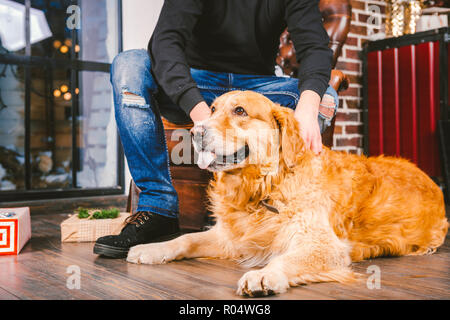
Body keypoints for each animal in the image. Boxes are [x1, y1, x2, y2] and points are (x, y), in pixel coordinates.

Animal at [125, 89, 446, 296]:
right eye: (213, 110)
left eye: (240, 111)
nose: (194, 132)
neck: (265, 187)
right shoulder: (230, 238)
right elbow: (186, 239)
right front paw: (152, 249)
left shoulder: (325, 246)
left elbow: (285, 259)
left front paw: (265, 274)